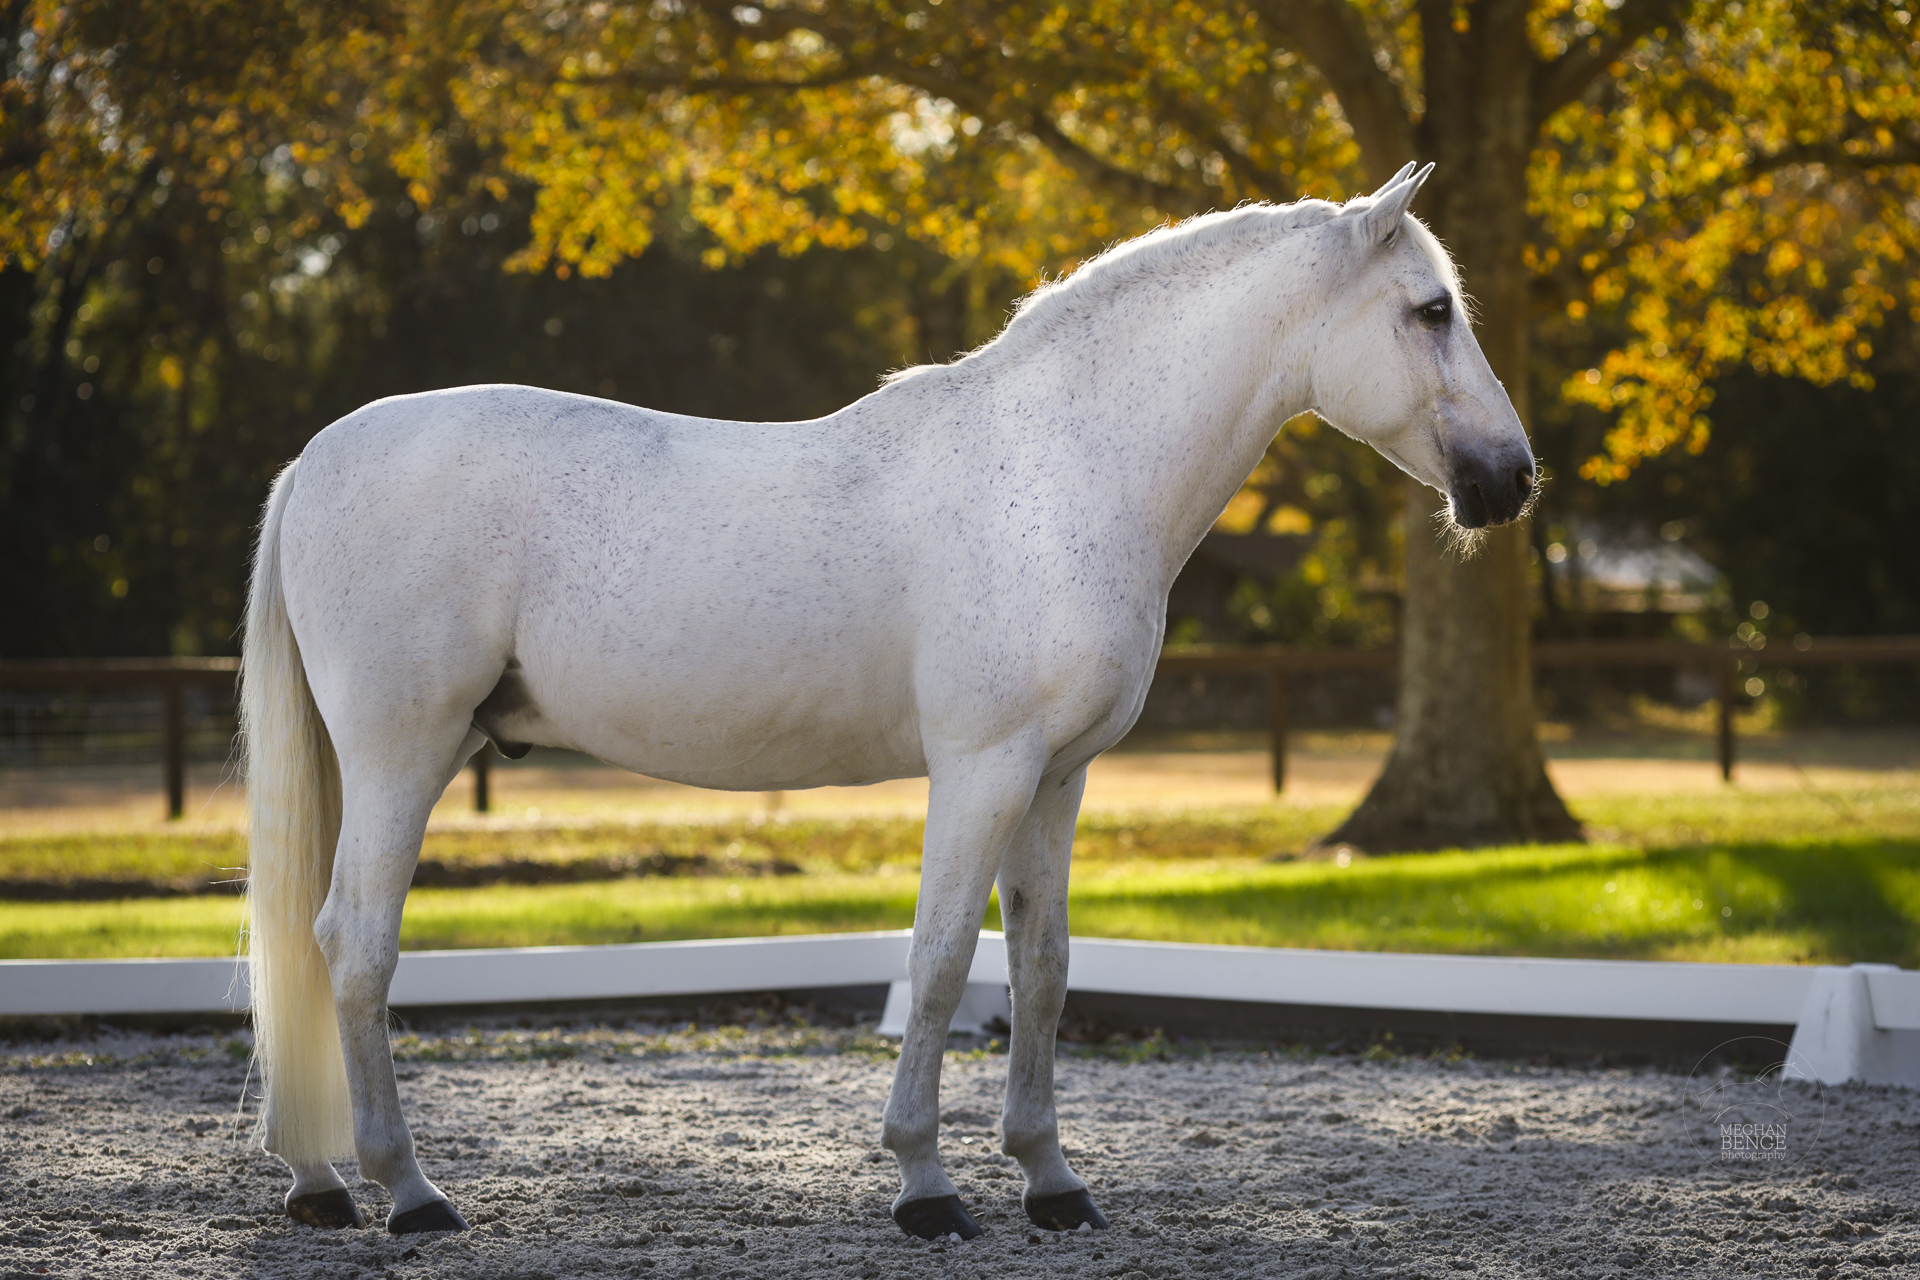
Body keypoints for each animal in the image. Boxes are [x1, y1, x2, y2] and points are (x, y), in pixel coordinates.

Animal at [239, 161, 1535, 1240]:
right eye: (1431, 310)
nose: (1511, 481)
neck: (1055, 472)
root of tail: (315, 459)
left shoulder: (1058, 776)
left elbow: (1045, 965)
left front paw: (1052, 1181)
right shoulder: (983, 767)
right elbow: (948, 955)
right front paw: (927, 1185)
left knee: (310, 942)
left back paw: (318, 1182)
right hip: (405, 752)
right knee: (356, 943)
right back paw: (409, 1192)